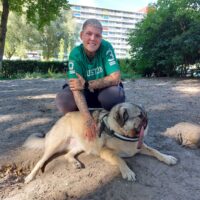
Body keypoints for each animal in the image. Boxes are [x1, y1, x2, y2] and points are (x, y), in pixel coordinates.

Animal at [24, 102, 177, 184]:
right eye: (139, 116)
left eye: (145, 114)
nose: (147, 120)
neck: (121, 132)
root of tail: (63, 117)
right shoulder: (106, 152)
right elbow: (120, 159)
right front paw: (127, 171)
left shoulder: (140, 147)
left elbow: (155, 151)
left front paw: (167, 158)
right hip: (55, 145)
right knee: (40, 162)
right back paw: (30, 176)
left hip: (83, 146)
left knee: (67, 155)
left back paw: (75, 163)